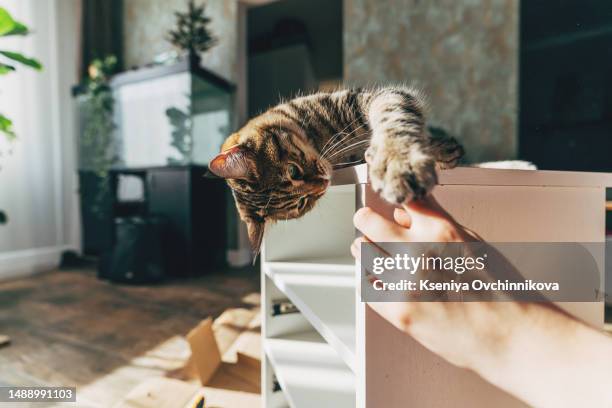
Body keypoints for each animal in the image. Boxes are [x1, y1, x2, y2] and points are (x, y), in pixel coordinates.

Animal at [209, 86, 464, 253]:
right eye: (301, 203)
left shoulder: (370, 98)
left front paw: (399, 161)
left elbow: (393, 116)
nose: (323, 182)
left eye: (293, 171)